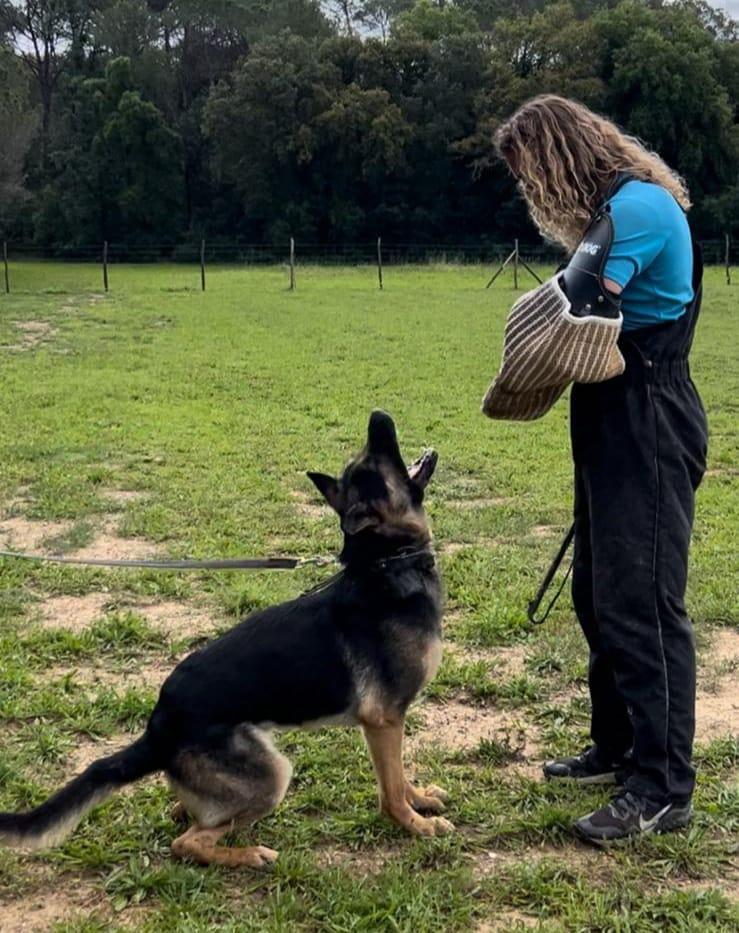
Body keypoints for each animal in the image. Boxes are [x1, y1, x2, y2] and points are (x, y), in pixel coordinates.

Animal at [0, 414, 450, 868]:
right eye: (373, 462)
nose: (378, 416)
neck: (386, 564)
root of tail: (158, 727)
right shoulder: (383, 720)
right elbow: (390, 789)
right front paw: (415, 825)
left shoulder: (389, 724)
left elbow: (399, 776)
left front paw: (419, 799)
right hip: (272, 775)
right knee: (188, 842)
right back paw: (248, 855)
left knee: (190, 813)